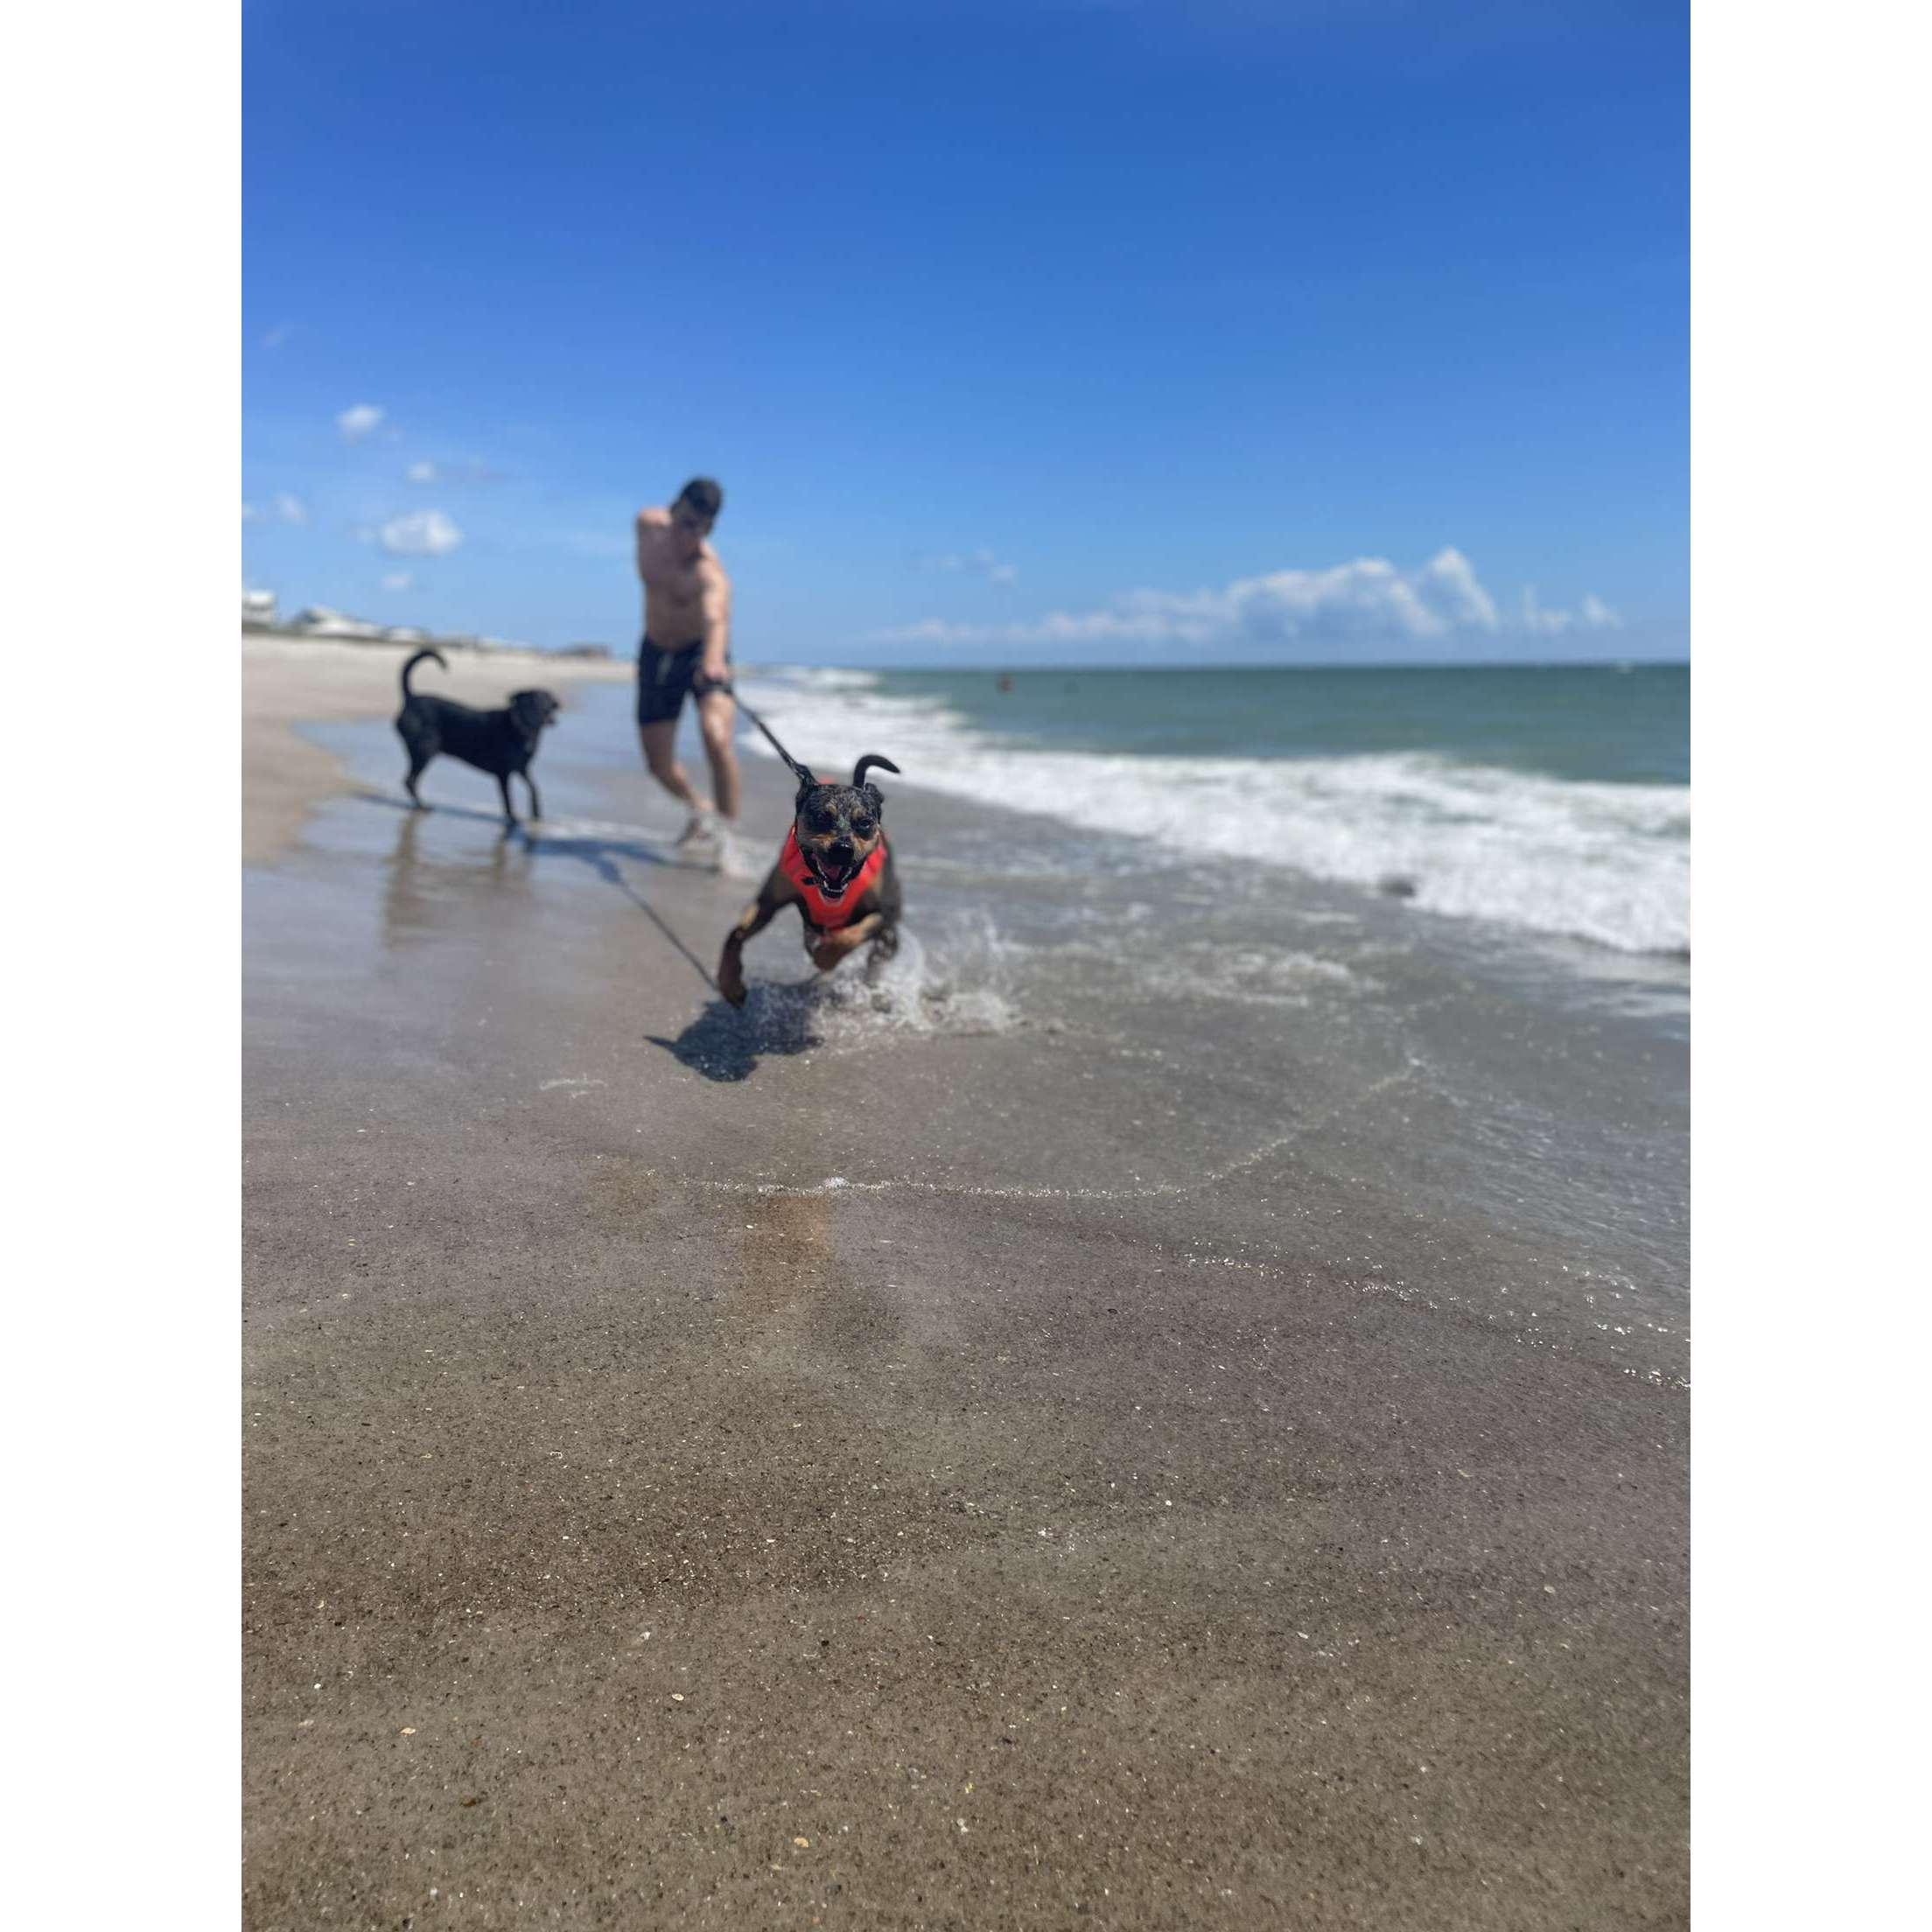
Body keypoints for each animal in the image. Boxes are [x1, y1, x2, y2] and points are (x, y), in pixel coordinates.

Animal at [392, 653, 560, 827]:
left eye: (545, 705)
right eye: (526, 704)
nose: (527, 720)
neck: (523, 733)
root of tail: (411, 699)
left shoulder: (522, 768)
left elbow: (534, 788)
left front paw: (537, 814)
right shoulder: (503, 773)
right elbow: (508, 800)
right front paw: (513, 820)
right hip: (425, 750)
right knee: (410, 780)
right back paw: (422, 805)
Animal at [718, 749, 904, 1012]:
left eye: (865, 823)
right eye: (822, 817)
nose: (843, 849)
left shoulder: (883, 912)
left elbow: (848, 935)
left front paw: (826, 957)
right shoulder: (767, 904)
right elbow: (736, 934)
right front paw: (730, 982)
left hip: (889, 929)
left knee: (880, 951)